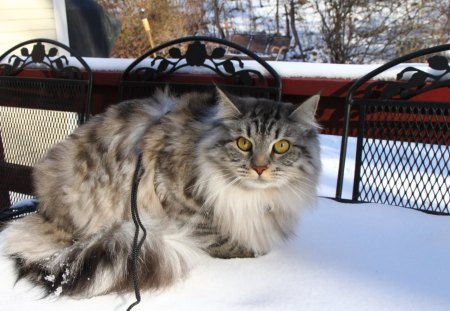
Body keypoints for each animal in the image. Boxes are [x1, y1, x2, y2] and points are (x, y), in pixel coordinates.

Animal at [1, 88, 322, 298]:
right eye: (243, 143)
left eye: (281, 146)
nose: (259, 168)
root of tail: (44, 212)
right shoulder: (173, 191)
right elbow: (216, 236)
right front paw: (247, 250)